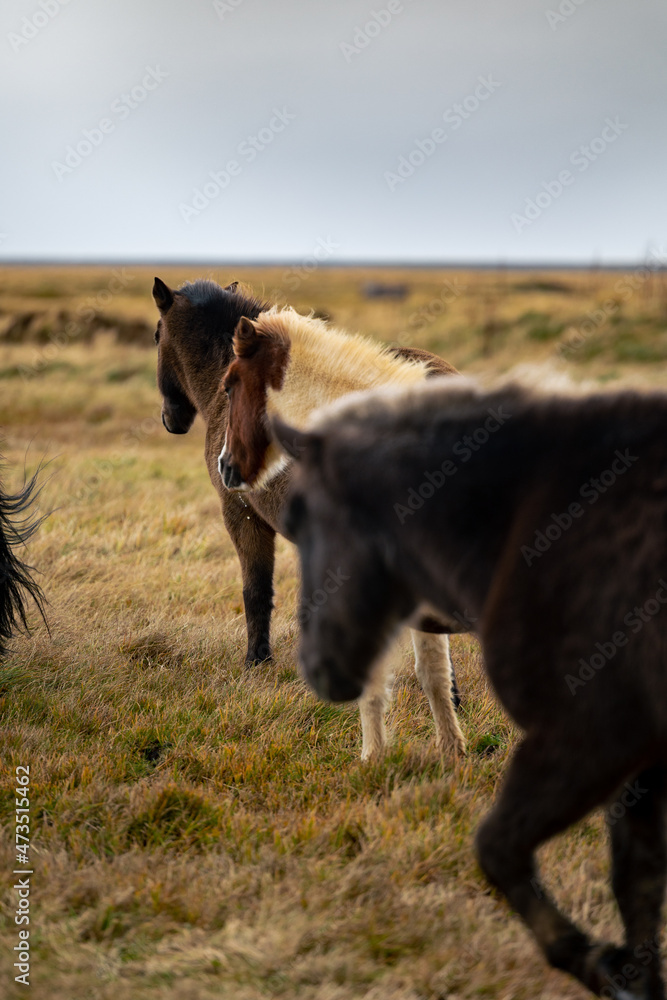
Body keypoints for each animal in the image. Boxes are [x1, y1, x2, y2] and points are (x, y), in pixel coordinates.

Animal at [273, 378, 667, 998]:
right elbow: (638, 892)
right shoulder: (640, 771)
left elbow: (498, 849)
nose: (316, 665)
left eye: (298, 519)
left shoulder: (588, 742)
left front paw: (595, 961)